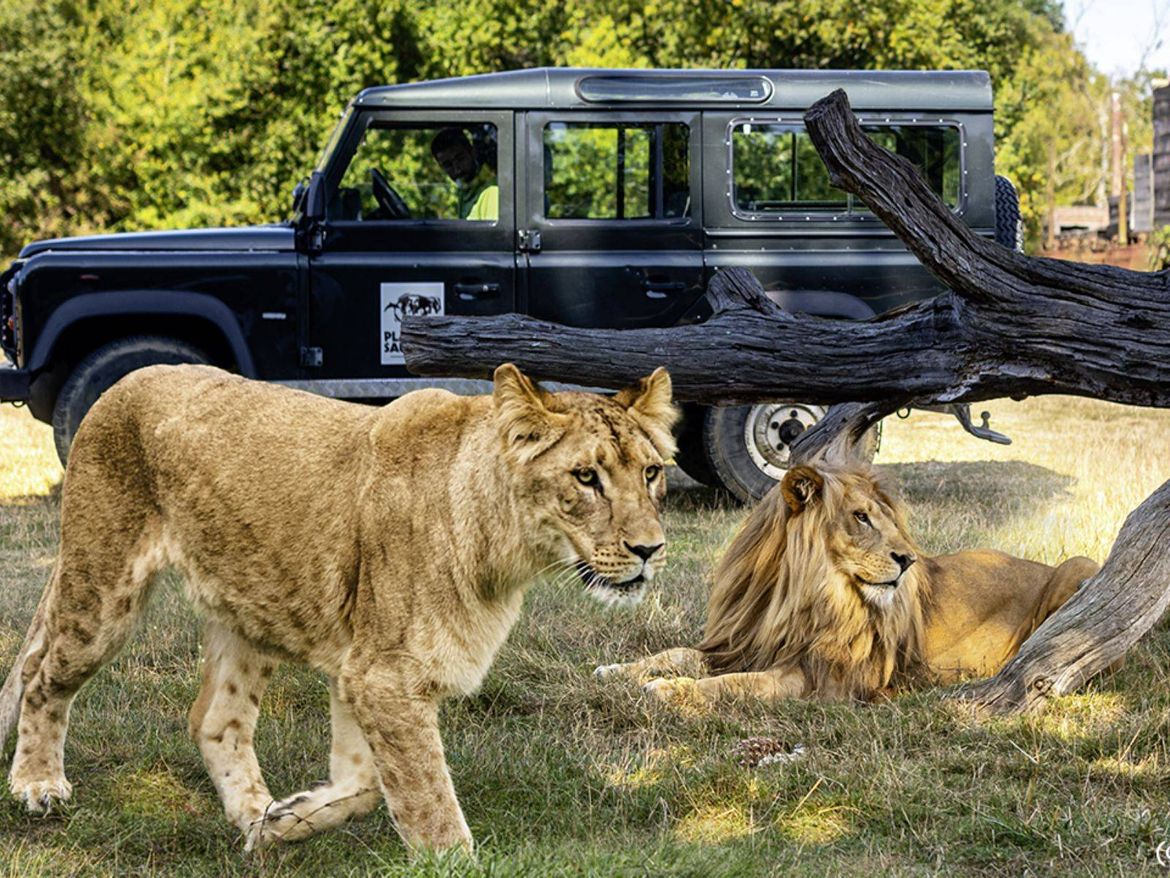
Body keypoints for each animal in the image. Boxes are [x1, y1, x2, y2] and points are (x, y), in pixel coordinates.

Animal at [0, 362, 683, 852]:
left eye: (651, 473)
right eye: (586, 478)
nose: (650, 549)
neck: (503, 552)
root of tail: (123, 381)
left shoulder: (363, 668)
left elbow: (366, 784)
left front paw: (281, 821)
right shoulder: (383, 674)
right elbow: (428, 801)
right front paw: (453, 860)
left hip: (248, 605)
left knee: (215, 720)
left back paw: (253, 815)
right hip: (102, 588)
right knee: (41, 676)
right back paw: (37, 784)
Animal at [594, 463, 1095, 707]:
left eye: (889, 519)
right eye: (860, 517)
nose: (909, 560)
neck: (797, 594)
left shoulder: (819, 677)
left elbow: (734, 684)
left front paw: (668, 690)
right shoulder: (743, 642)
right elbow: (679, 653)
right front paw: (617, 670)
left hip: (1079, 566)